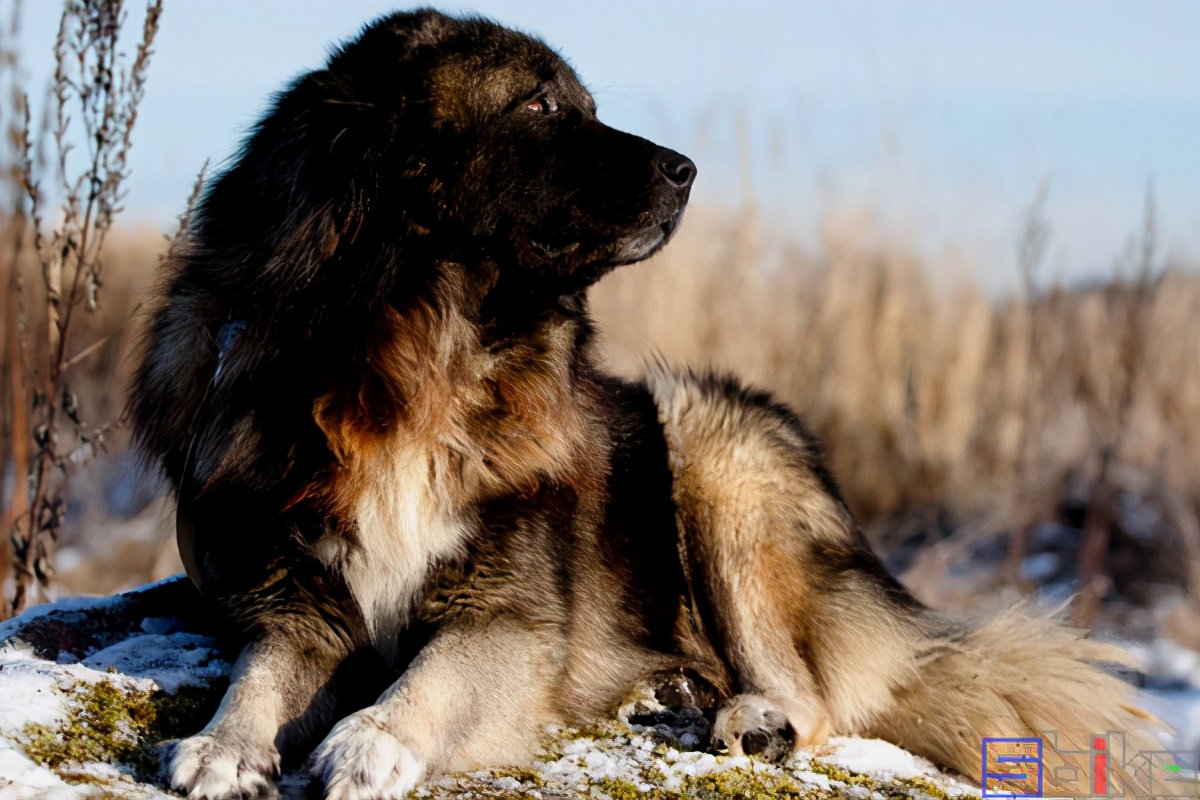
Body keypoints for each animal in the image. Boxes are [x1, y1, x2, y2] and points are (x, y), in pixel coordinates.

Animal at [133, 7, 1161, 800]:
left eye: (585, 105)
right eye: (541, 104)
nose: (686, 168)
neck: (420, 352)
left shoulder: (512, 620)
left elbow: (436, 674)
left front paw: (375, 735)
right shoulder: (298, 597)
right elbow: (263, 671)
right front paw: (223, 745)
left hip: (711, 457)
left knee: (812, 691)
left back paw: (752, 716)